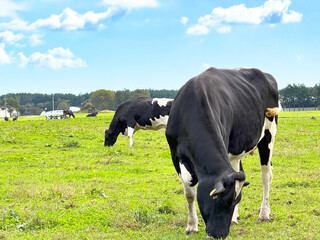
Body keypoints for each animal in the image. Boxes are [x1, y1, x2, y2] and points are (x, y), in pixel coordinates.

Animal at [165, 67, 280, 238]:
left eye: (234, 200)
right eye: (222, 200)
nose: (220, 234)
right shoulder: (174, 155)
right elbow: (189, 193)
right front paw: (192, 226)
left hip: (269, 134)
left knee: (266, 175)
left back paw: (264, 214)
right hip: (236, 152)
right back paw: (235, 218)